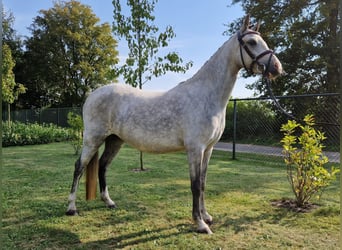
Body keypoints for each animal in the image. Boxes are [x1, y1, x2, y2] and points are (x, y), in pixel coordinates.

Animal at [66, 15, 284, 234]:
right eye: (251, 42)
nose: (276, 68)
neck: (206, 95)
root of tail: (92, 95)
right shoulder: (195, 149)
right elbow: (195, 185)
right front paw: (200, 224)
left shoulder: (208, 149)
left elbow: (203, 183)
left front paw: (206, 216)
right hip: (93, 138)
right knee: (78, 167)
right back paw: (71, 208)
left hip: (114, 140)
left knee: (102, 166)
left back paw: (109, 202)